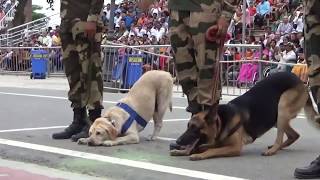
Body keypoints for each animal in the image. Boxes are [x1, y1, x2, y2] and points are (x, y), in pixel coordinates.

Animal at [170, 71, 318, 160]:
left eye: (195, 128)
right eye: (188, 126)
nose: (178, 141)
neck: (222, 121)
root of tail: (301, 82)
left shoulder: (234, 148)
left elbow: (212, 150)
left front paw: (199, 155)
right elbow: (198, 146)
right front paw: (183, 151)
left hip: (282, 108)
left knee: (281, 137)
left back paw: (273, 149)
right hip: (276, 118)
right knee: (294, 135)